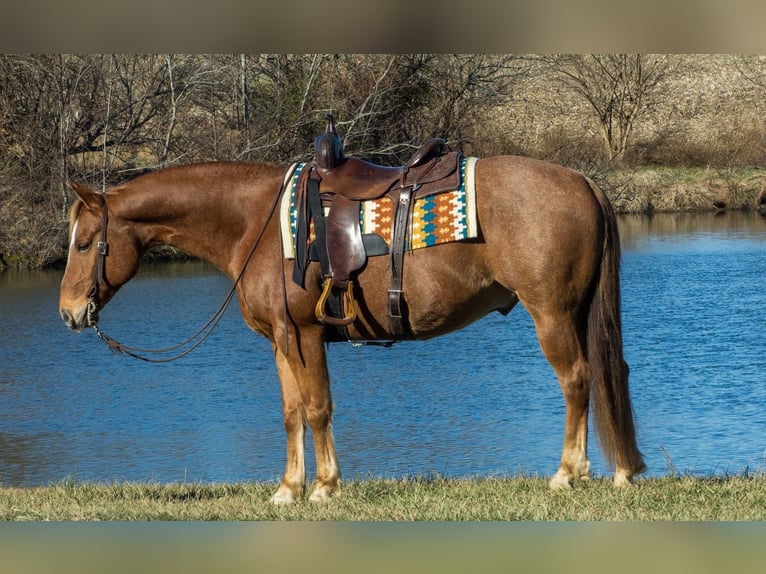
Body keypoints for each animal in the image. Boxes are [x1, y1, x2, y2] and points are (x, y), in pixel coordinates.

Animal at [59, 156, 646, 503]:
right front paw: (288, 489)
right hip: (577, 313)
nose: (68, 313)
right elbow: (292, 413)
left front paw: (323, 487)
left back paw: (568, 472)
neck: (256, 225)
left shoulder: (304, 334)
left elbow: (318, 408)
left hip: (552, 314)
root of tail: (582, 180)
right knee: (606, 374)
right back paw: (620, 470)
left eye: (84, 243)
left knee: (576, 380)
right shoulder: (282, 340)